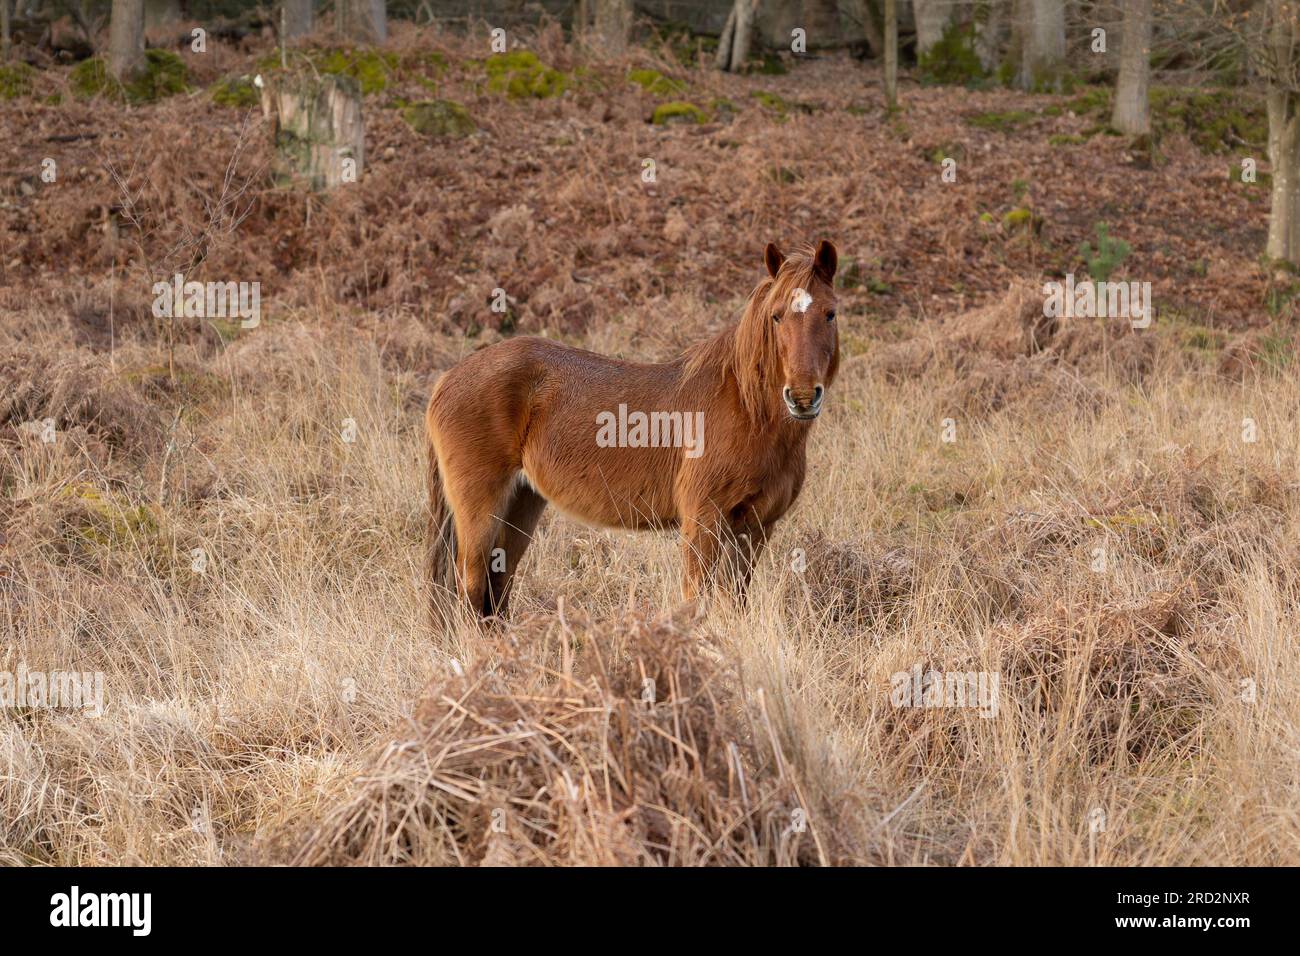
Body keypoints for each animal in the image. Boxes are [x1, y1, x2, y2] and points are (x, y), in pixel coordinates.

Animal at [426, 240, 842, 621]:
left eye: (830, 314)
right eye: (776, 316)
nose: (802, 396)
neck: (746, 407)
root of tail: (447, 378)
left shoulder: (756, 528)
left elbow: (735, 603)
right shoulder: (703, 521)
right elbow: (696, 599)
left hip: (522, 502)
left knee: (496, 590)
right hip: (480, 510)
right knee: (471, 588)